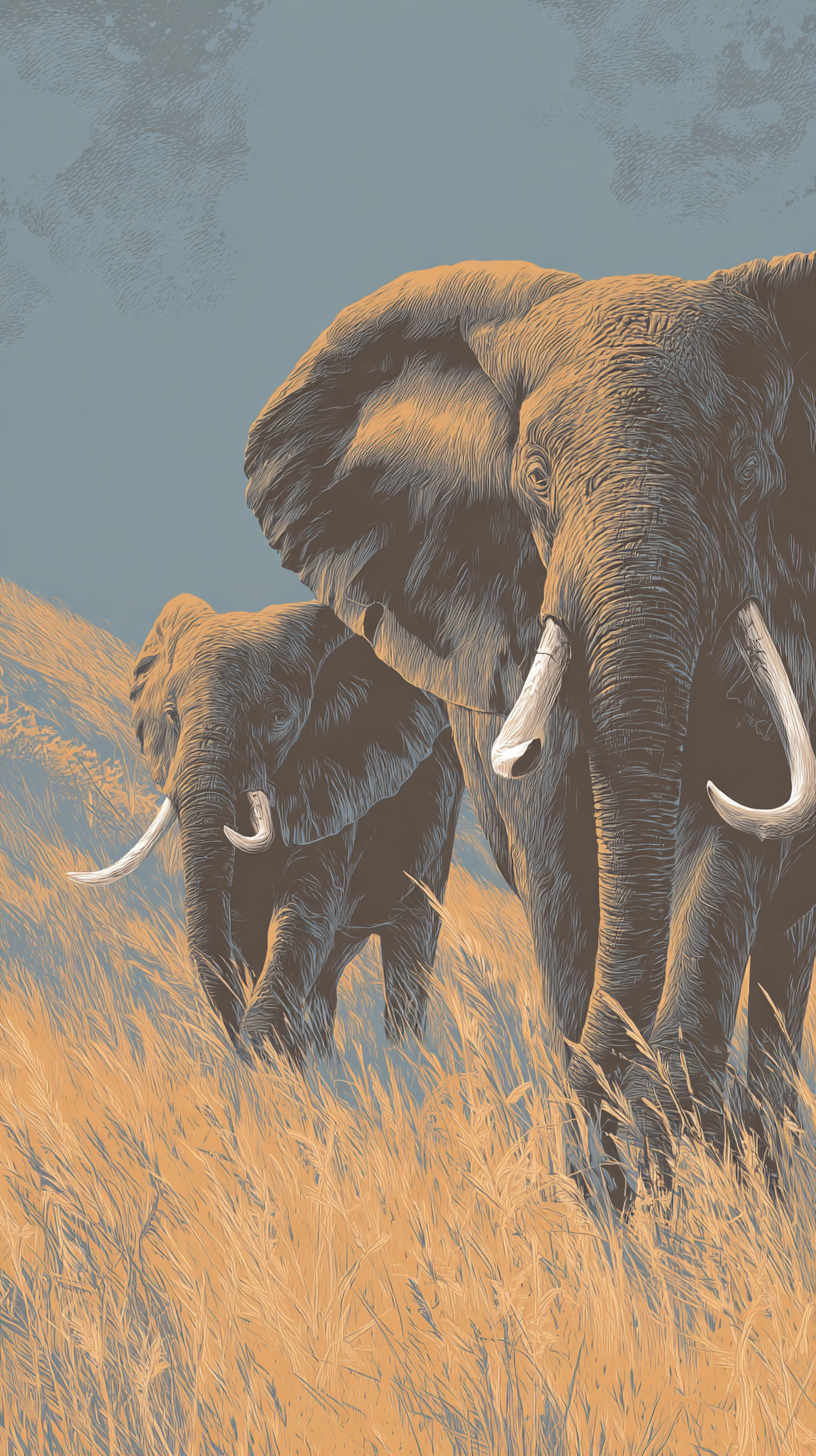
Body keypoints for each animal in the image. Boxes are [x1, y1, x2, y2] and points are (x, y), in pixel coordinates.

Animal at [68, 595, 464, 1060]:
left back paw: (407, 1062)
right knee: (330, 970)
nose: (236, 1044)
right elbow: (247, 924)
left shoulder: (334, 783)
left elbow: (301, 918)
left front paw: (265, 1059)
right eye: (172, 716)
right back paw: (322, 1060)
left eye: (277, 717)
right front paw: (278, 1062)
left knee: (410, 946)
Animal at [241, 252, 816, 1194]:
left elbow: (737, 826)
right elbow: (554, 863)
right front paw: (614, 1177)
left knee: (782, 963)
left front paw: (663, 1150)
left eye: (747, 474)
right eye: (537, 477)